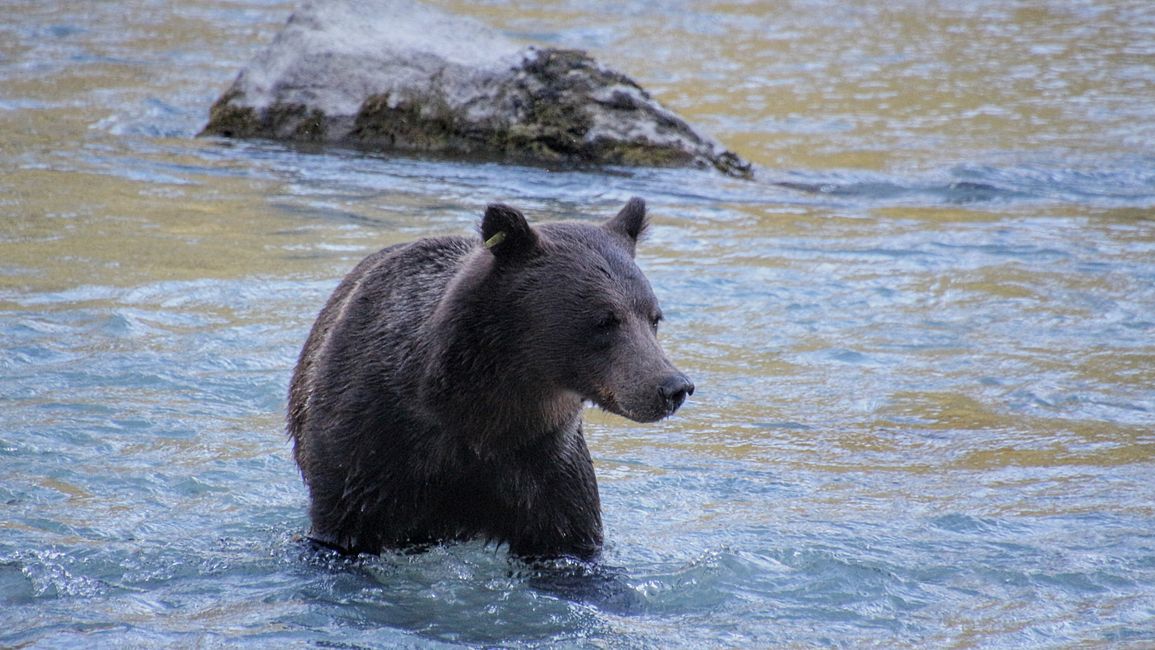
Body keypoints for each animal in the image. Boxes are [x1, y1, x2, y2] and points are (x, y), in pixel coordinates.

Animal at [286, 198, 693, 558]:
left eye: (653, 317)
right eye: (605, 320)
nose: (674, 386)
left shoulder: (546, 462)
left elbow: (567, 537)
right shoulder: (370, 440)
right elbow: (347, 521)